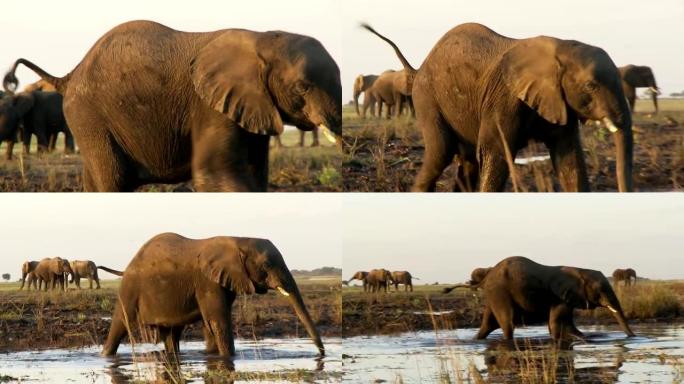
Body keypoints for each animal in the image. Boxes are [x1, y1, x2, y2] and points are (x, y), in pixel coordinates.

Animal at [4, 19, 342, 190]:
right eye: (302, 87)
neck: (261, 39)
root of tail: (70, 74)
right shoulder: (209, 107)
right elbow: (216, 174)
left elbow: (254, 172)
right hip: (89, 117)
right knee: (111, 179)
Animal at [100, 232, 324, 358]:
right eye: (267, 265)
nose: (321, 355)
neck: (238, 241)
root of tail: (127, 267)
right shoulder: (207, 281)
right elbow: (218, 320)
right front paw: (229, 358)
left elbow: (210, 324)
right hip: (129, 291)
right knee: (120, 325)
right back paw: (105, 355)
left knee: (171, 334)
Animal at [366, 21, 632, 192]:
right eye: (591, 86)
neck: (559, 48)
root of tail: (419, 68)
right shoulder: (504, 98)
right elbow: (495, 153)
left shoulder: (558, 101)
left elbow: (569, 161)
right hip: (427, 98)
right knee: (440, 153)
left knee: (467, 163)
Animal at [444, 256, 636, 340]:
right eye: (601, 290)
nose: (633, 337)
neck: (579, 271)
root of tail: (486, 277)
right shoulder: (560, 297)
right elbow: (557, 323)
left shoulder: (567, 298)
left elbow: (566, 324)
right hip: (500, 292)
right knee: (507, 323)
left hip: (494, 295)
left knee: (488, 325)